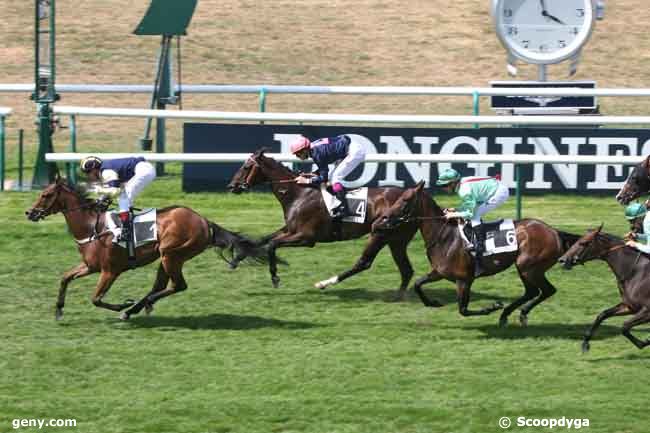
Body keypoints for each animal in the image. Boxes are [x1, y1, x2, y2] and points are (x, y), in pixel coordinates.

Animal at [26, 176, 266, 320]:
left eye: (46, 195)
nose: (29, 213)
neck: (91, 226)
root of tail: (205, 221)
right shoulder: (90, 266)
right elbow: (65, 277)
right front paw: (58, 309)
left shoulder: (110, 271)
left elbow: (96, 298)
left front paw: (122, 305)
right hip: (168, 258)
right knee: (161, 285)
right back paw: (137, 308)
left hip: (171, 254)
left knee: (178, 285)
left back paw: (136, 307)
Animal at [228, 148, 418, 296]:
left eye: (246, 167)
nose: (231, 186)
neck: (300, 194)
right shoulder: (289, 230)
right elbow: (262, 240)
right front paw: (236, 259)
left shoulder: (306, 238)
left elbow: (272, 245)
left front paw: (275, 277)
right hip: (396, 240)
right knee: (406, 270)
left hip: (381, 233)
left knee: (365, 263)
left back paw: (325, 283)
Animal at [370, 181, 576, 326]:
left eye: (404, 201)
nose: (381, 220)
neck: (445, 236)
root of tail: (554, 231)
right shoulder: (439, 272)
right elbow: (418, 284)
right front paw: (433, 302)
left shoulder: (464, 280)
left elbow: (463, 309)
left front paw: (492, 307)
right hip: (525, 268)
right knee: (533, 291)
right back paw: (508, 314)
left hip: (529, 267)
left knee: (546, 290)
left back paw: (515, 313)